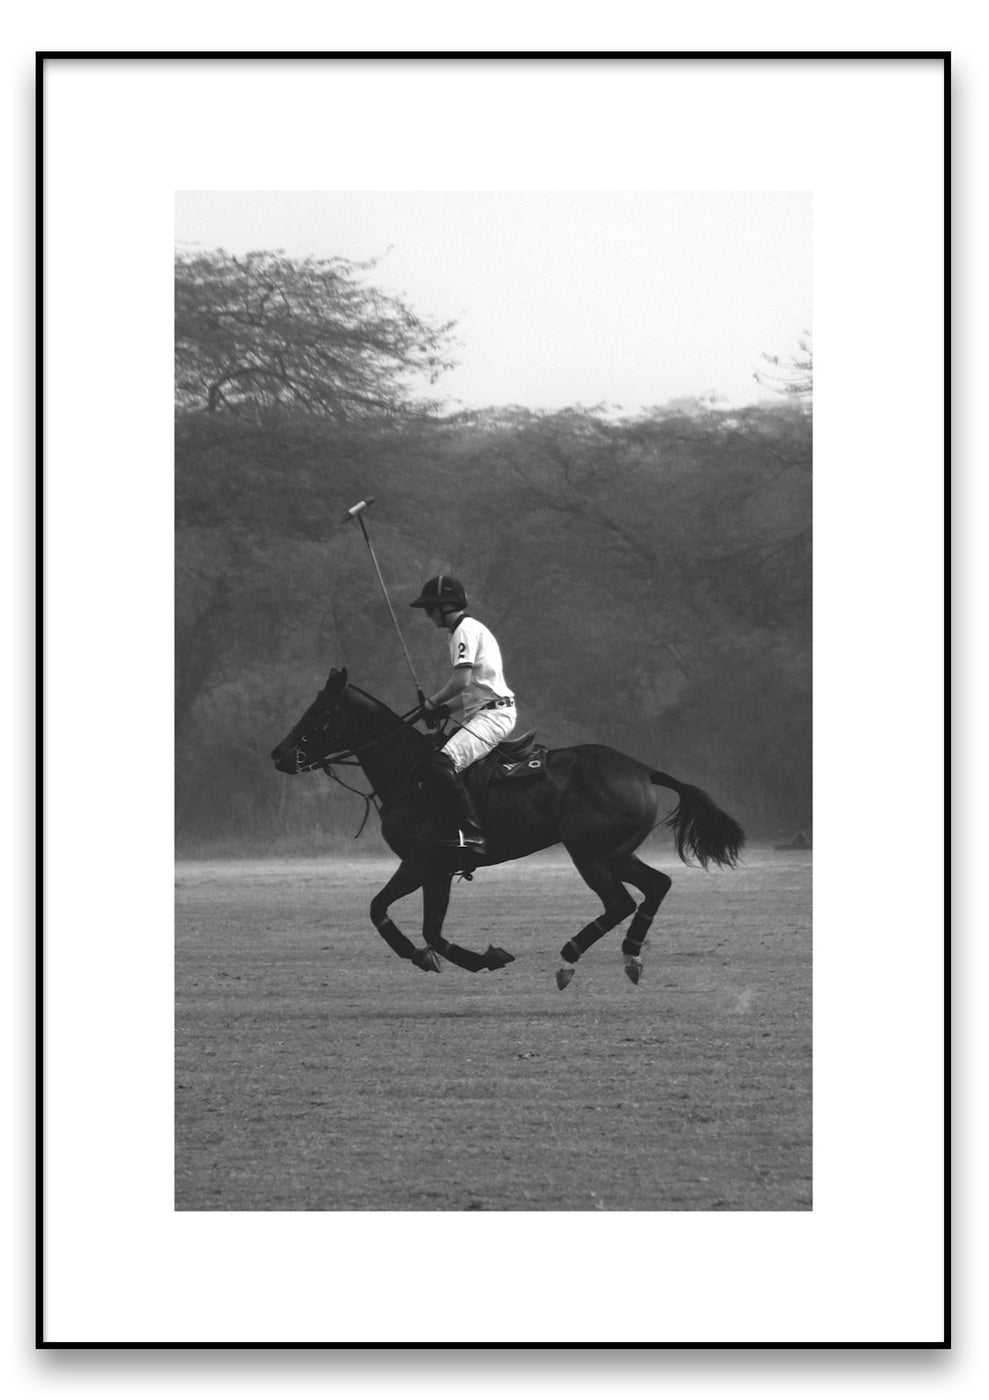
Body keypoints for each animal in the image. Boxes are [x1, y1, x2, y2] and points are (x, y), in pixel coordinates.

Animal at [268, 666, 739, 985]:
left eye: (322, 711)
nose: (280, 754)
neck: (408, 773)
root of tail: (643, 770)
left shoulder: (421, 862)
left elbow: (378, 909)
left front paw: (423, 956)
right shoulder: (439, 871)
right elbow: (432, 931)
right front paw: (484, 957)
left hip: (587, 852)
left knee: (619, 902)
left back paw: (568, 958)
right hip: (616, 852)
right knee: (657, 885)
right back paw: (631, 956)